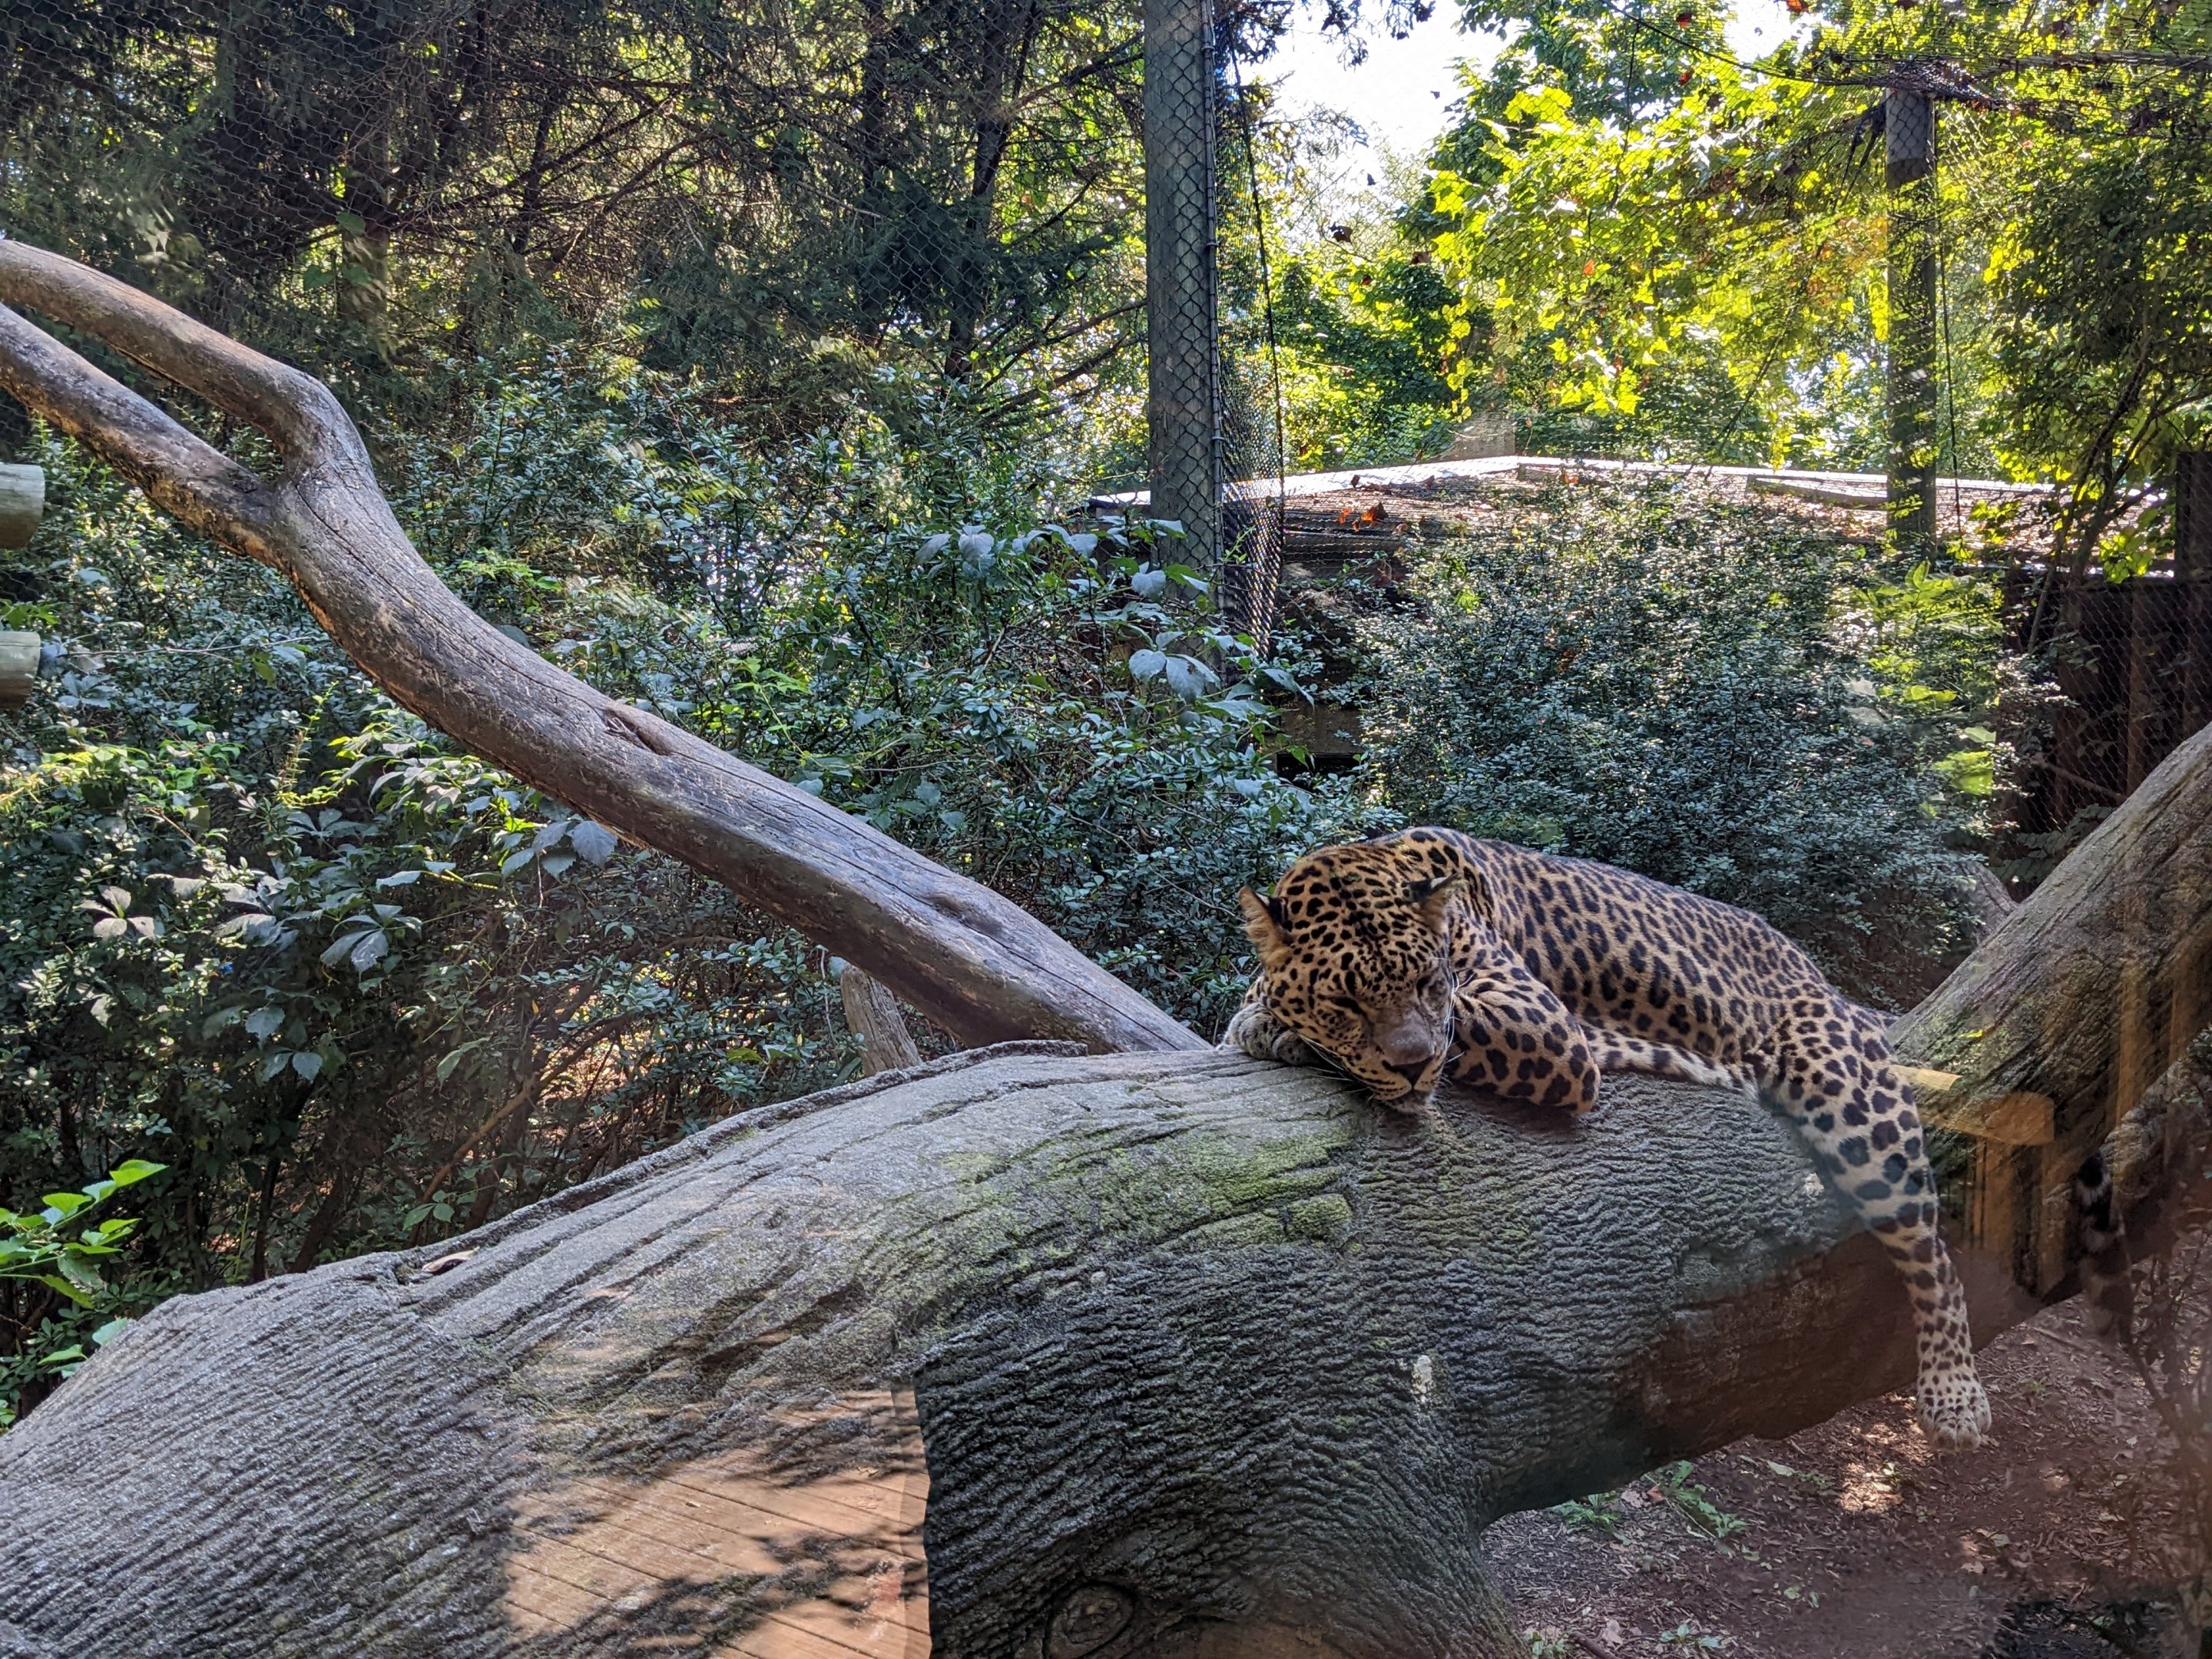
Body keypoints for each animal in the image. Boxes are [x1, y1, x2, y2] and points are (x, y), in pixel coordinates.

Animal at [1224, 825, 1990, 1450]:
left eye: (1425, 983)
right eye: (1345, 1001)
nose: (1412, 1067)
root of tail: (1821, 976)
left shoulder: (1541, 1025)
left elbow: (1454, 1027)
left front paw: (1272, 1021)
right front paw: (1266, 1018)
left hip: (1850, 1094)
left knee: (1932, 1250)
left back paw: (1955, 1394)